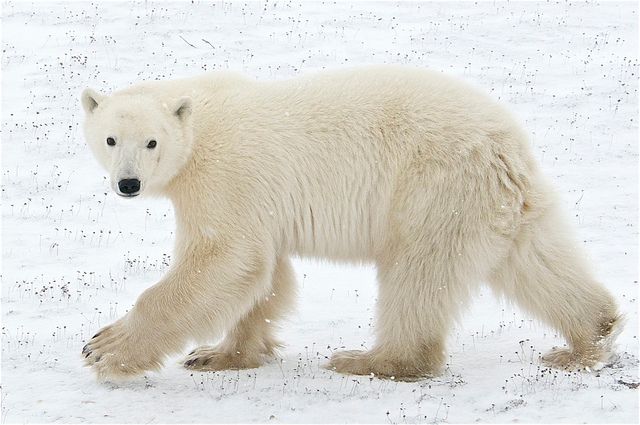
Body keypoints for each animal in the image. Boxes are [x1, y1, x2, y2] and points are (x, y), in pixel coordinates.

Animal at [80, 65, 621, 382]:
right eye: (110, 139)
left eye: (151, 142)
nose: (128, 183)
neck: (200, 121)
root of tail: (503, 146)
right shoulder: (259, 201)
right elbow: (264, 275)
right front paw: (219, 354)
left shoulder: (225, 174)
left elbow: (225, 260)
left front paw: (105, 350)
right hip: (497, 201)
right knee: (535, 260)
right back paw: (587, 339)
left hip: (430, 188)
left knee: (416, 275)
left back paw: (370, 360)